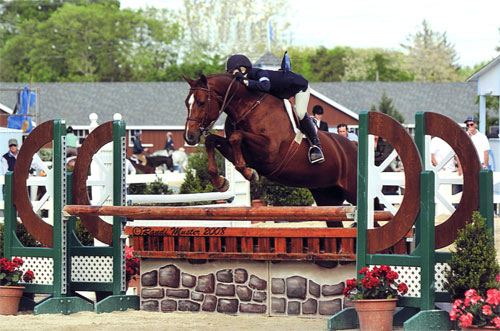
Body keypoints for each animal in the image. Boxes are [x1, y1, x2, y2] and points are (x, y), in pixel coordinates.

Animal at [184, 75, 360, 209]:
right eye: (187, 103)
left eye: (201, 102)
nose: (189, 137)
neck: (248, 109)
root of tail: (354, 145)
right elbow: (211, 140)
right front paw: (220, 182)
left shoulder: (270, 152)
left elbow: (236, 136)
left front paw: (249, 173)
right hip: (326, 194)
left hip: (353, 191)